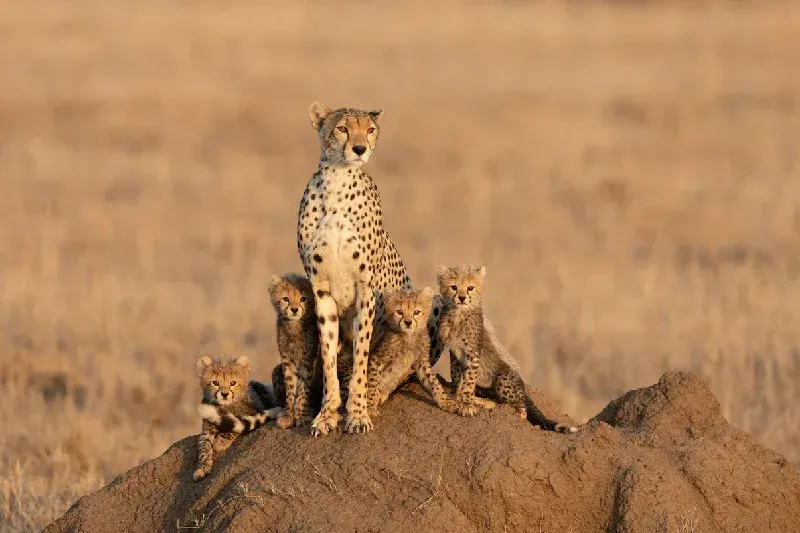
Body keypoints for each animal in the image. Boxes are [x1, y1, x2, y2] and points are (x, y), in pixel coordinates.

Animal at [297, 102, 441, 436]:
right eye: (342, 128)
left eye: (370, 129)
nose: (360, 148)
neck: (336, 184)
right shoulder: (320, 290)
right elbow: (328, 356)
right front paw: (327, 414)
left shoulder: (366, 290)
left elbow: (362, 358)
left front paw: (358, 413)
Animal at [436, 265, 578, 434]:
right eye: (454, 287)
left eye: (470, 288)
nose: (462, 298)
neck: (458, 313)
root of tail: (524, 389)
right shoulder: (454, 352)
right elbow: (456, 375)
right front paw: (457, 395)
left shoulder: (472, 354)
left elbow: (469, 381)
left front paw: (467, 404)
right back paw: (482, 400)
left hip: (502, 380)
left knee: (521, 408)